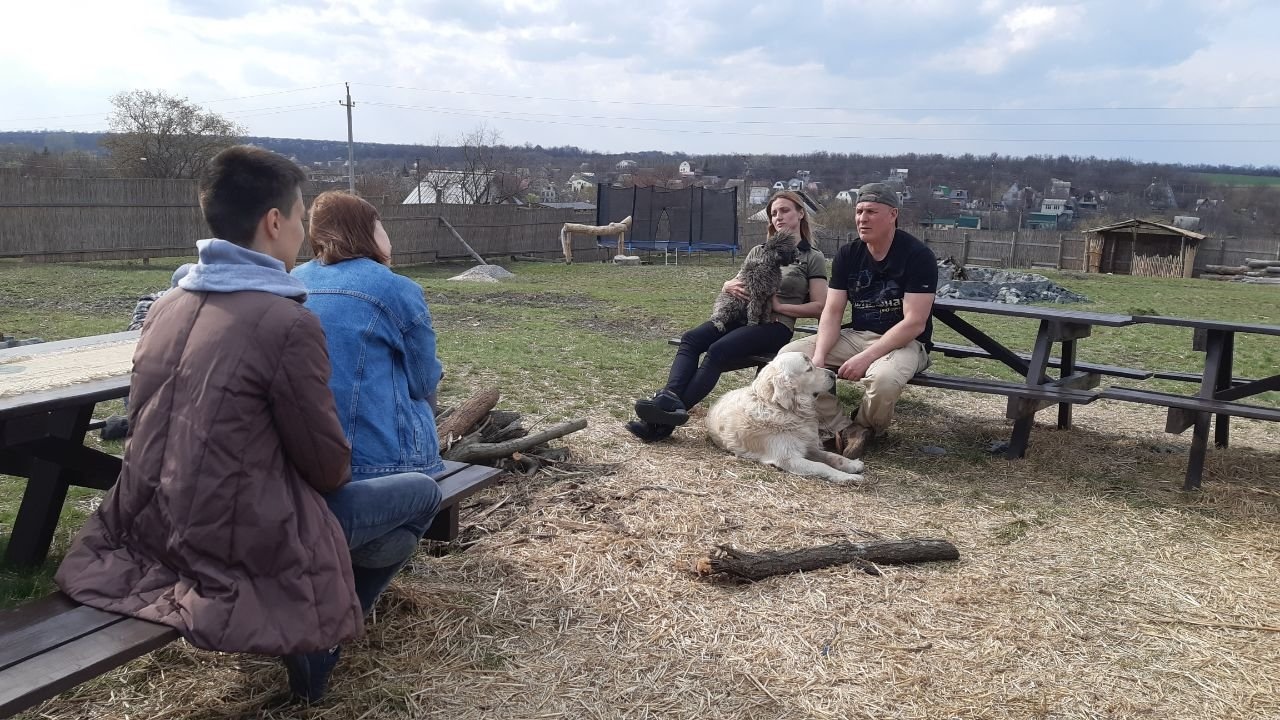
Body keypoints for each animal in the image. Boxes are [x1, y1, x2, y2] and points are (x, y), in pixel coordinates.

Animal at [705, 352, 865, 484]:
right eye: (809, 369)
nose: (833, 374)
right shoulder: (788, 459)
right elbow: (822, 465)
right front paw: (848, 477)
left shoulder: (808, 446)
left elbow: (831, 456)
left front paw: (852, 464)